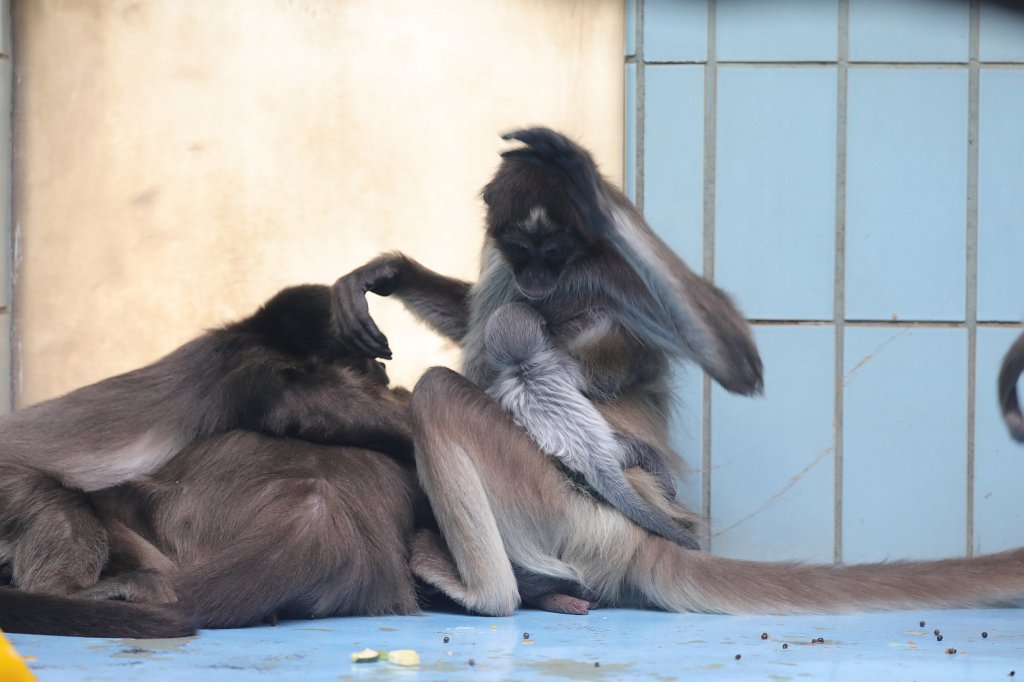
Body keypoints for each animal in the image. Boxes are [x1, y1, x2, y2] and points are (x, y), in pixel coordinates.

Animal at [0, 283, 412, 601]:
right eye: (369, 357)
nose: (383, 370)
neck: (250, 333)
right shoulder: (251, 363)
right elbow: (291, 404)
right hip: (8, 483)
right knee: (55, 502)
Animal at [482, 301, 693, 548]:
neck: (523, 368)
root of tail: (596, 464)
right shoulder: (562, 364)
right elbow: (602, 389)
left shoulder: (503, 386)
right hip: (620, 451)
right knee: (644, 450)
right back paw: (667, 488)